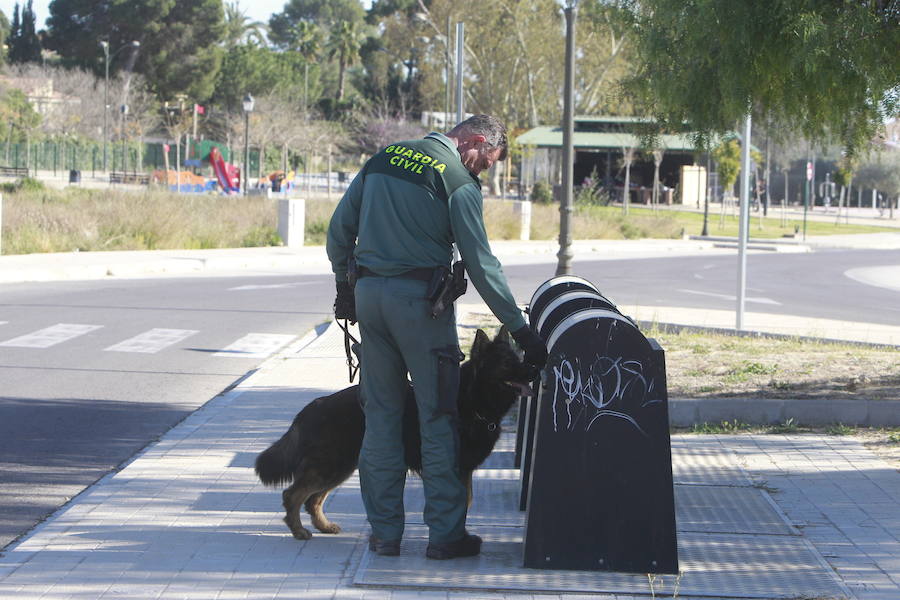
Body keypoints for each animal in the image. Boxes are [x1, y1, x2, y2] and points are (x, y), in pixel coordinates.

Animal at [256, 326, 532, 540]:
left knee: (312, 500)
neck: (472, 398)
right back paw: (299, 531)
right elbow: (463, 505)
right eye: (507, 363)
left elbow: (466, 503)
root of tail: (314, 406)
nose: (534, 369)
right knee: (292, 495)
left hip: (340, 467)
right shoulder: (458, 469)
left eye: (518, 358)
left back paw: (323, 526)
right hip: (332, 465)